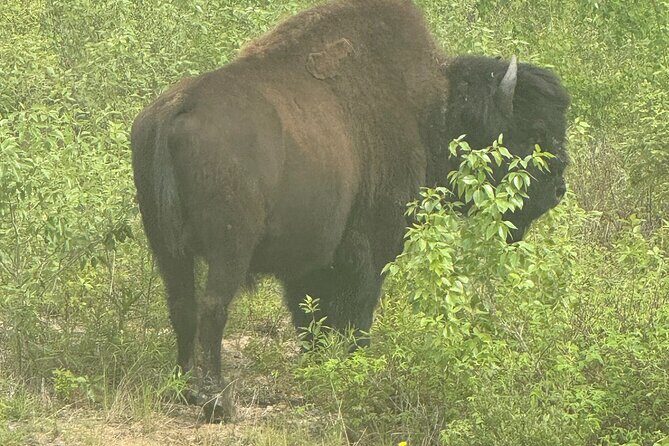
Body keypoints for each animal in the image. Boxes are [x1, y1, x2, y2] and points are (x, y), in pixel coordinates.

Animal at [131, 0, 569, 419]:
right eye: (536, 130)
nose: (559, 188)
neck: (432, 109)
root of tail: (178, 107)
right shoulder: (372, 247)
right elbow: (357, 312)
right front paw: (356, 365)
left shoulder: (309, 259)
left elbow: (310, 317)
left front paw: (318, 367)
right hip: (229, 248)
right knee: (213, 307)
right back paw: (217, 402)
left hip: (167, 247)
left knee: (182, 306)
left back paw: (183, 388)